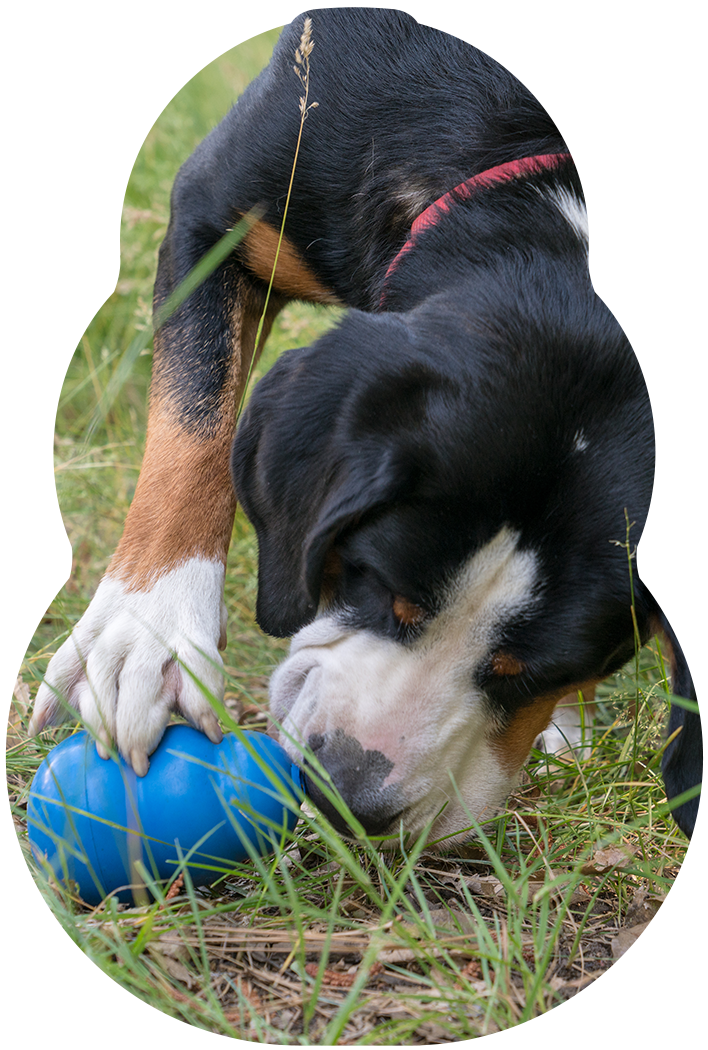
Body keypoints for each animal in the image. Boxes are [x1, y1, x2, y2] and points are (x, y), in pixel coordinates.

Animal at [28, 8, 701, 844]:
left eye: (545, 669)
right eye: (371, 582)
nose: (350, 791)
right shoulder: (218, 216)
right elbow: (193, 425)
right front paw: (146, 629)